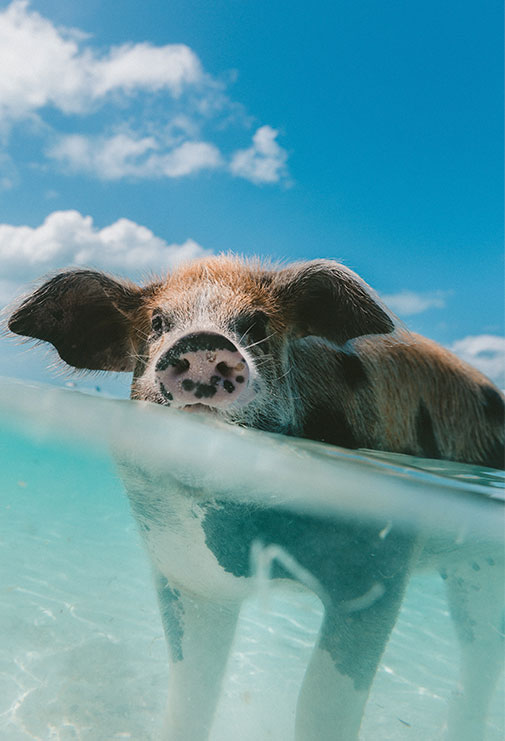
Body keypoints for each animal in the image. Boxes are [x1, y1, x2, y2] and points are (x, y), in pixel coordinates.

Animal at [7, 256, 504, 740]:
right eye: (157, 322)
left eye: (257, 323)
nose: (203, 342)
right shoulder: (186, 573)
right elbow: (191, 692)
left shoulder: (379, 564)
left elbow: (321, 704)